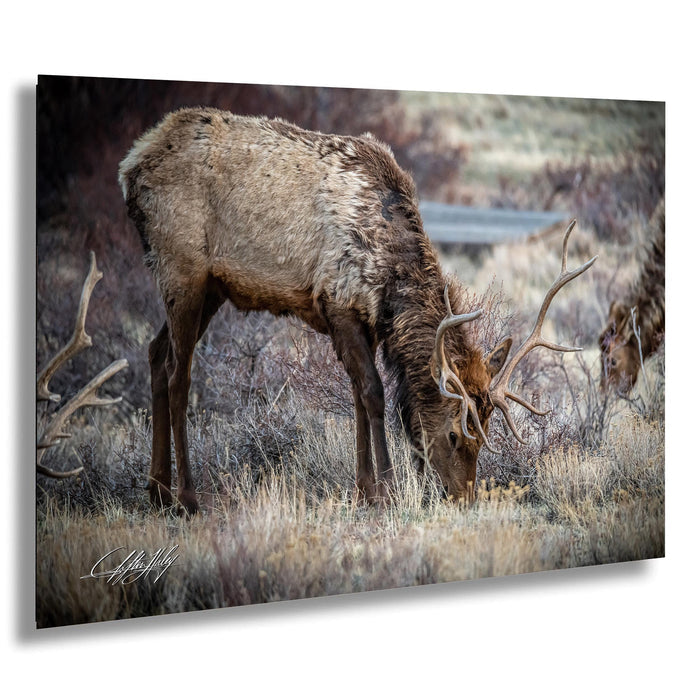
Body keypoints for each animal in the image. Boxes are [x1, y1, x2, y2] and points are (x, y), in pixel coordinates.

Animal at [118, 107, 596, 515]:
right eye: (455, 433)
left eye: (488, 431)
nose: (463, 497)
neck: (388, 273)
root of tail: (130, 167)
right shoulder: (338, 303)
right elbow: (373, 393)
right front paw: (385, 490)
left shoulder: (366, 321)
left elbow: (355, 395)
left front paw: (364, 489)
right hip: (183, 269)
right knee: (179, 372)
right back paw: (186, 497)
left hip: (209, 288)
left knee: (156, 353)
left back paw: (156, 490)